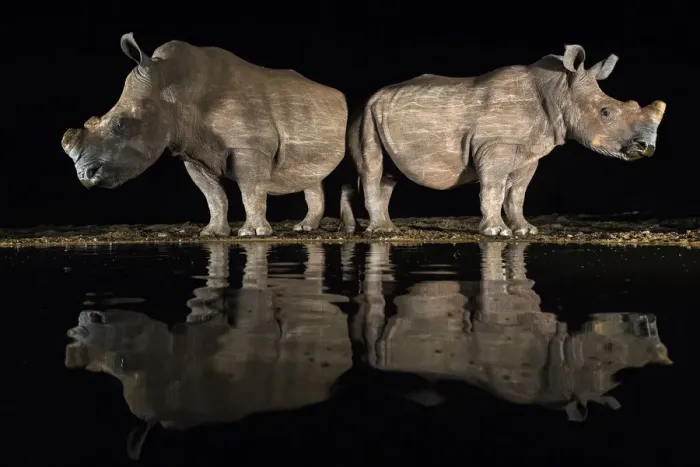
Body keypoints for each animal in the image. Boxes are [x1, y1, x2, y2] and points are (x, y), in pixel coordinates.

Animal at [61, 33, 348, 237]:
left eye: (120, 125)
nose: (84, 177)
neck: (172, 88)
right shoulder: (192, 152)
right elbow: (213, 195)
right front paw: (213, 233)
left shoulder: (250, 146)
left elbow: (251, 189)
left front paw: (253, 234)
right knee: (311, 173)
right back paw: (305, 228)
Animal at [341, 44, 666, 236]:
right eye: (606, 112)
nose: (647, 148)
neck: (560, 90)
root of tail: (368, 98)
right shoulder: (493, 146)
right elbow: (494, 188)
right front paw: (496, 233)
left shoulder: (530, 151)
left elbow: (517, 193)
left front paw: (525, 231)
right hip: (364, 115)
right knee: (372, 167)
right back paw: (380, 232)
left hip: (377, 115)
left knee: (389, 174)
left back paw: (378, 228)